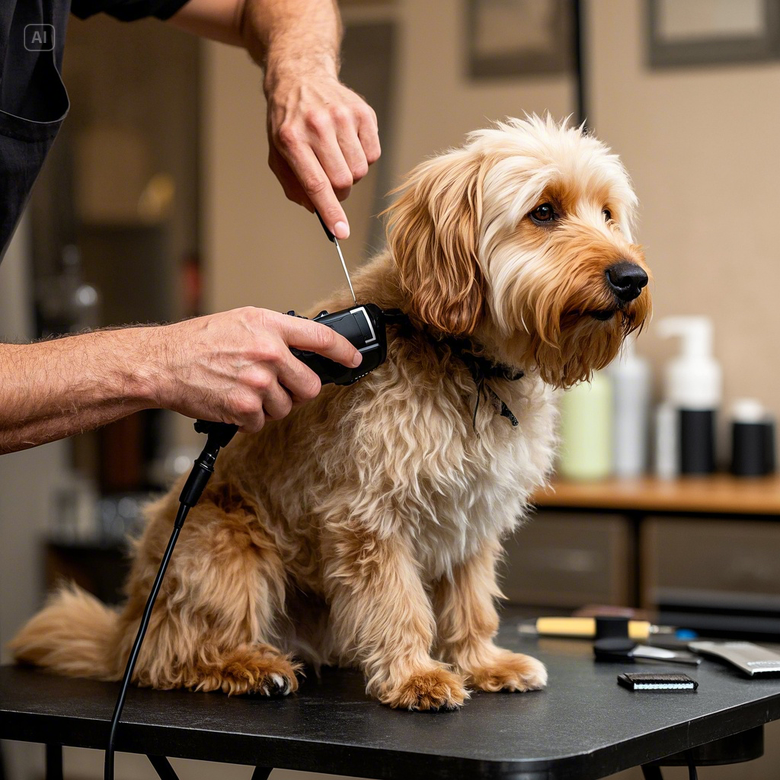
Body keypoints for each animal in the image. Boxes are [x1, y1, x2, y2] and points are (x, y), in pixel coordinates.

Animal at [10, 112, 652, 708]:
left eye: (607, 214)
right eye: (543, 211)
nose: (632, 277)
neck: (465, 359)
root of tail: (123, 631)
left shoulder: (473, 520)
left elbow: (471, 604)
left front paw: (483, 662)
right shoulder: (368, 517)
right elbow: (398, 603)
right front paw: (416, 675)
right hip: (226, 545)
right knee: (167, 657)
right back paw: (247, 667)